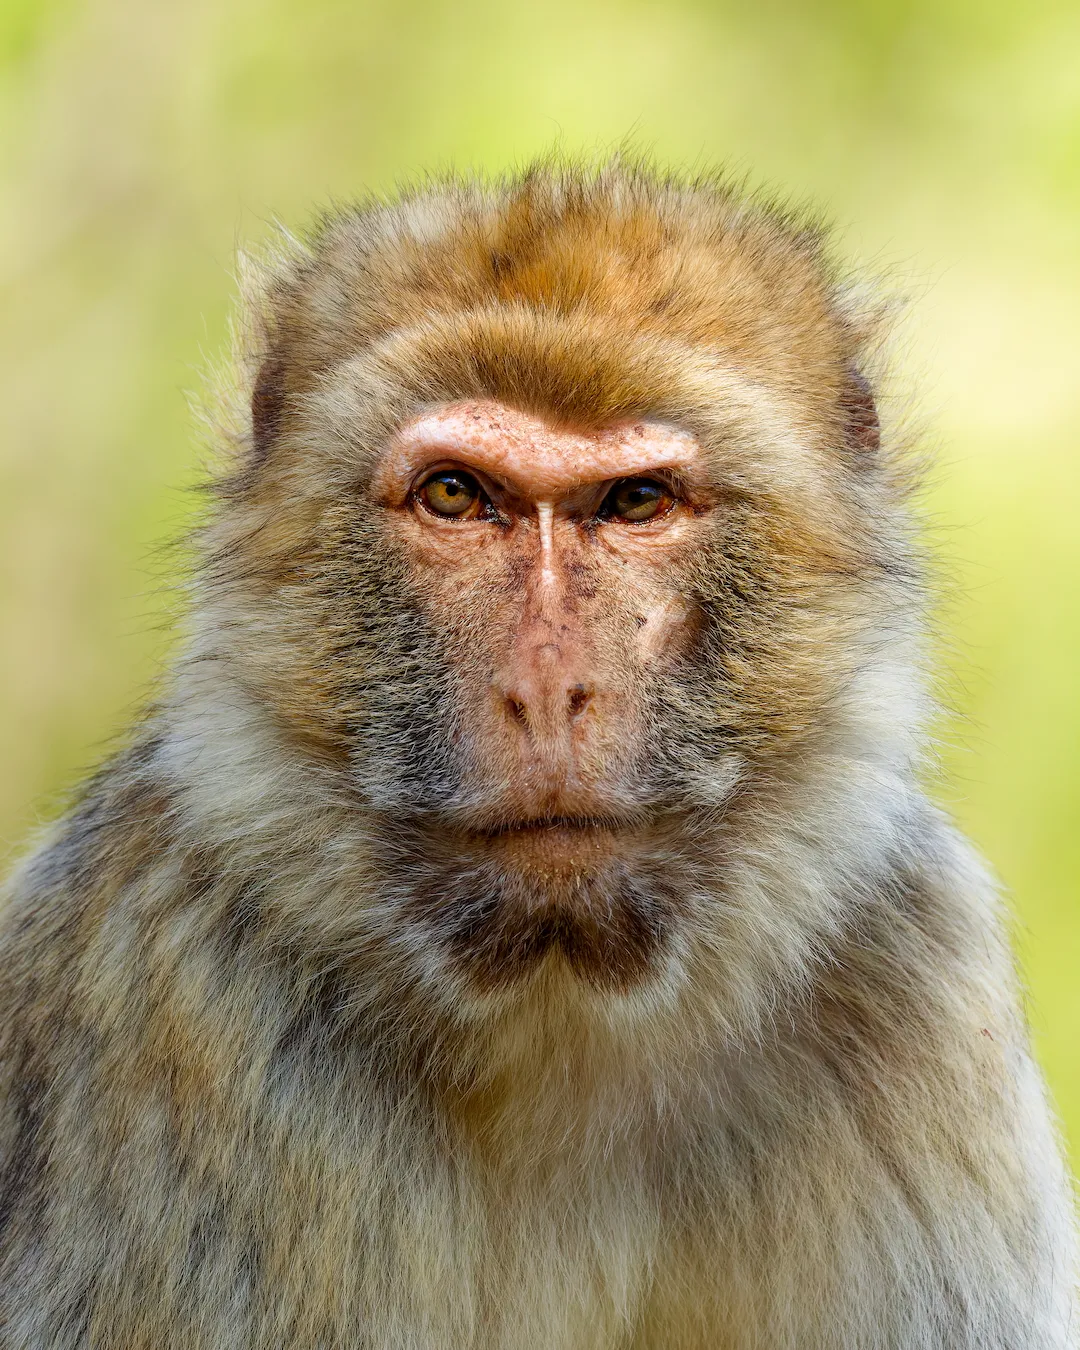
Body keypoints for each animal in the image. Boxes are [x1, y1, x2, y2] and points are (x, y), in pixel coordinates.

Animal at [0, 157, 1075, 1349]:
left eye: (637, 501)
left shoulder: (921, 987)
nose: (547, 691)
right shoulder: (167, 983)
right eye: (456, 495)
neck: (558, 1020)